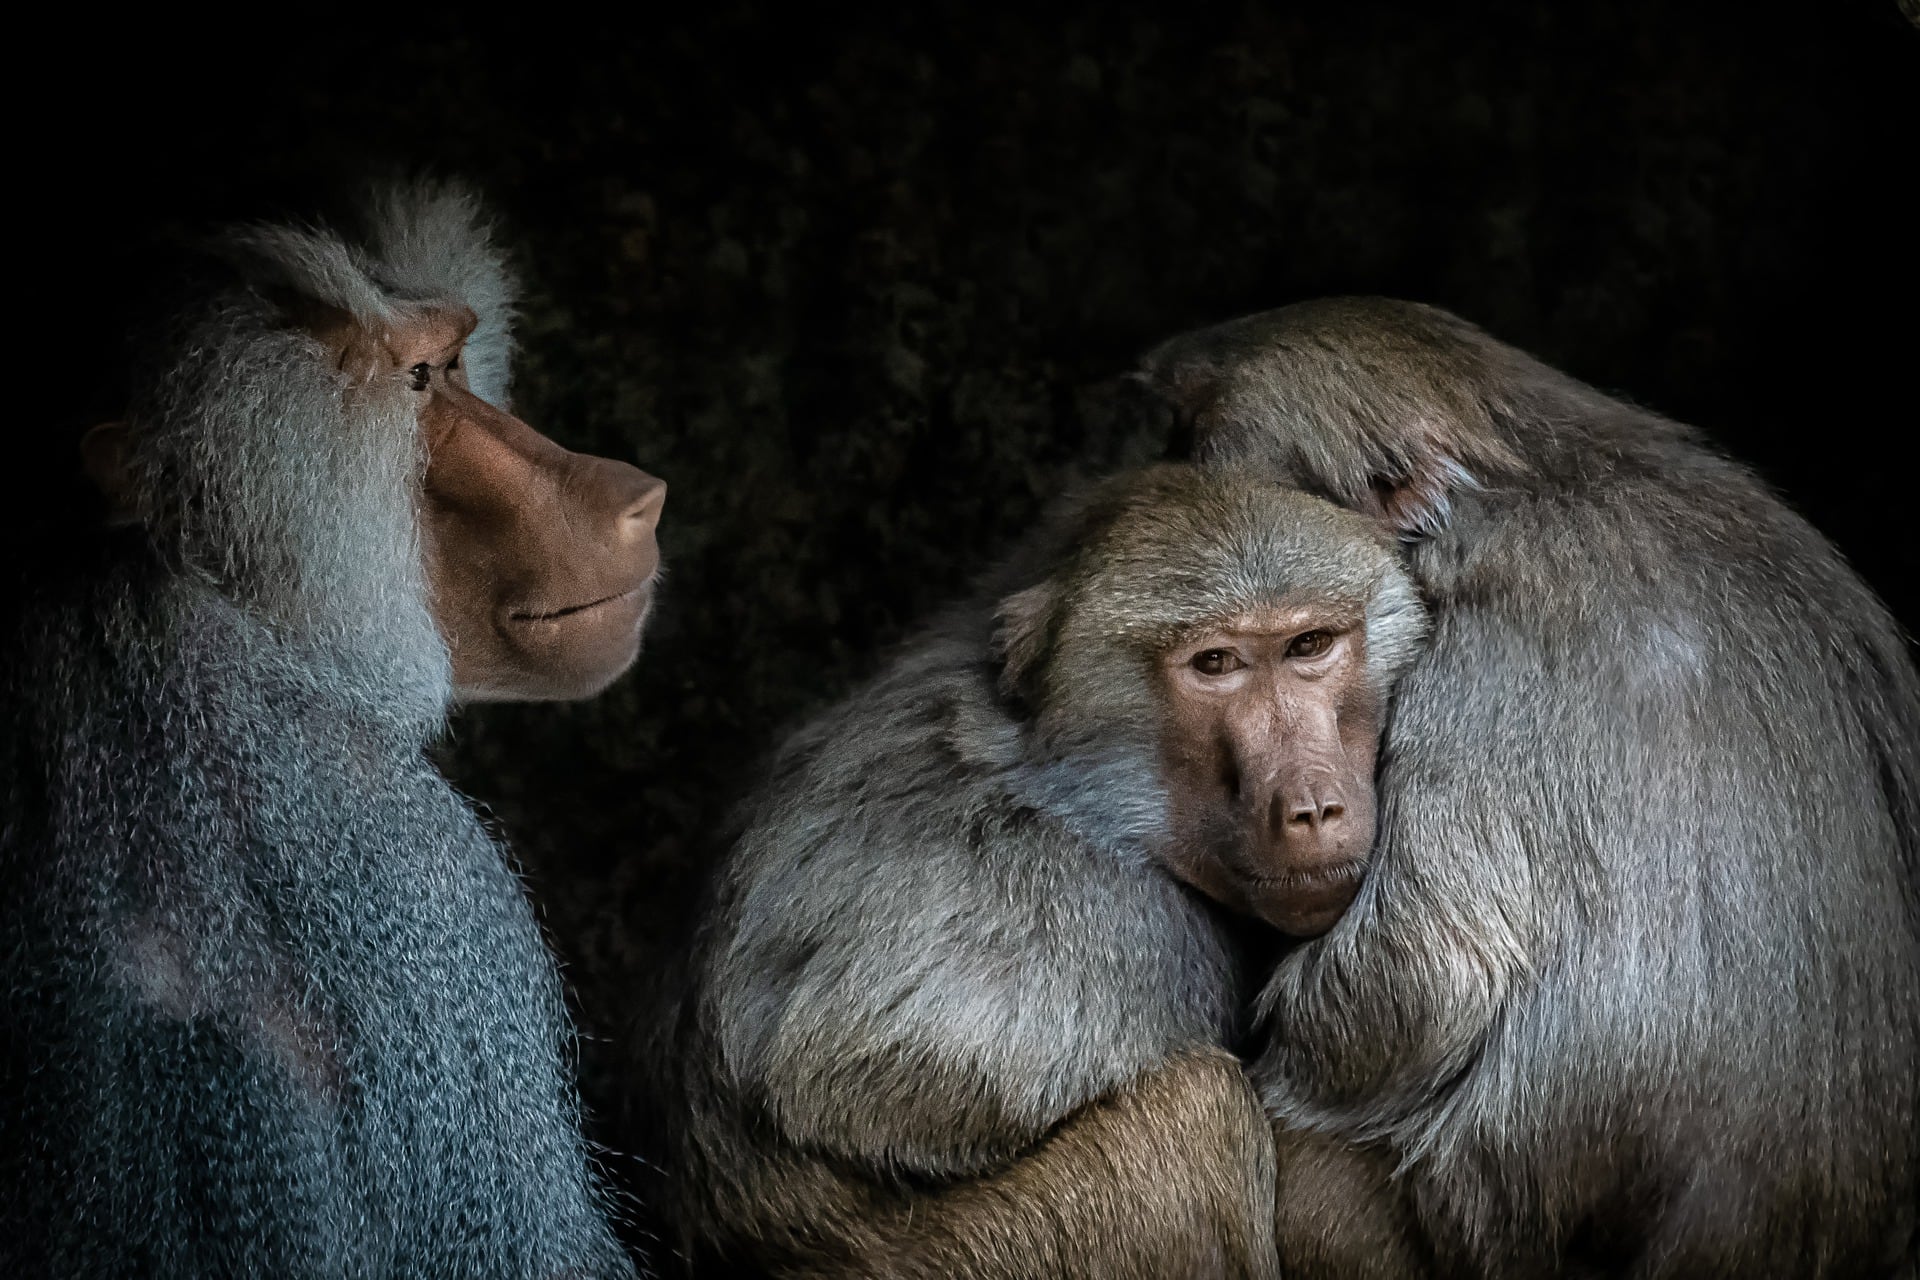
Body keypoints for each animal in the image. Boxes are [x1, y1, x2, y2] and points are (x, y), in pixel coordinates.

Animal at [670, 462, 1429, 1279]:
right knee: (1196, 1115)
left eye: (1309, 645)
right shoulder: (1089, 912)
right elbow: (855, 1080)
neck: (1067, 783)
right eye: (1216, 663)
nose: (1311, 808)